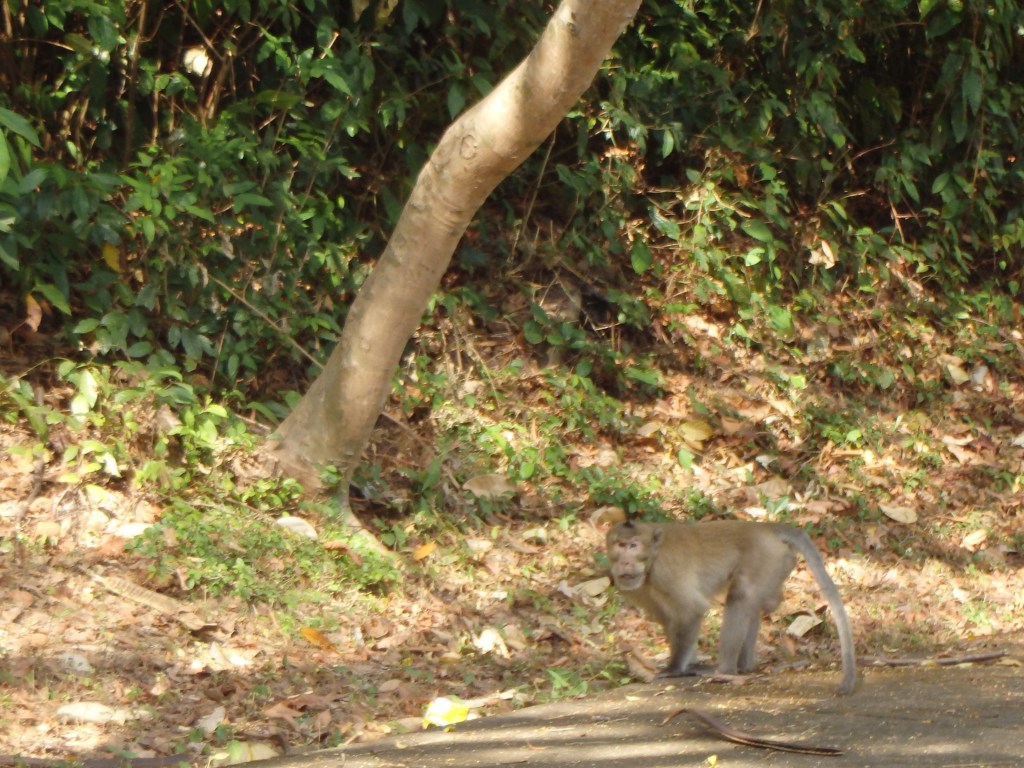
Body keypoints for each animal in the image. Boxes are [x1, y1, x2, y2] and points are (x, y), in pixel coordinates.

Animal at [606, 519, 857, 695]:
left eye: (633, 545)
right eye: (619, 545)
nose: (625, 562)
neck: (653, 558)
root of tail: (763, 527)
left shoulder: (666, 571)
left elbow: (691, 610)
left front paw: (674, 669)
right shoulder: (636, 586)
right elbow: (668, 618)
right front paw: (688, 662)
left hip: (767, 556)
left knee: (741, 594)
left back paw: (724, 670)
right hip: (777, 561)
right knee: (754, 600)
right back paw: (744, 664)